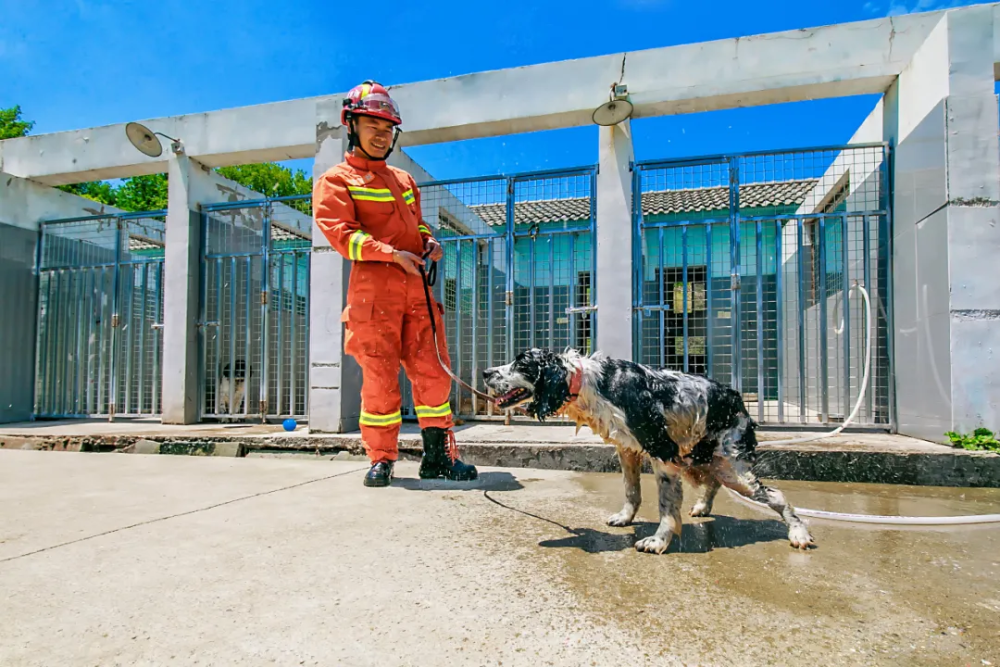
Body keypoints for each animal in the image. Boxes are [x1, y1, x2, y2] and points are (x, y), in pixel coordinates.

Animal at [480, 348, 816, 556]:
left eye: (521, 364)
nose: (485, 372)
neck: (588, 382)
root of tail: (737, 399)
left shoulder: (662, 451)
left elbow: (667, 506)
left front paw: (658, 540)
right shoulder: (628, 449)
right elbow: (632, 491)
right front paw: (625, 518)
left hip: (731, 467)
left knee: (776, 496)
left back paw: (799, 534)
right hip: (705, 459)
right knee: (713, 482)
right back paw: (702, 507)